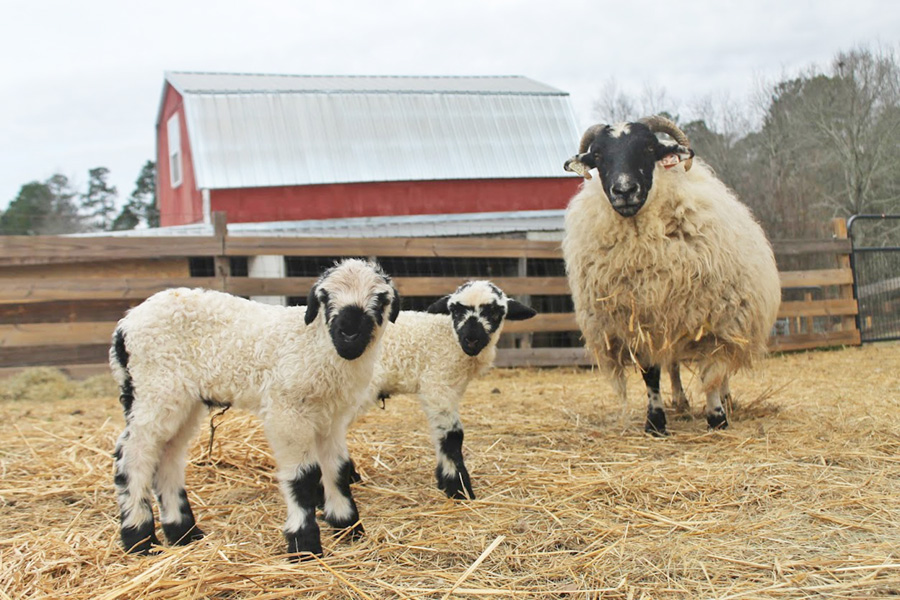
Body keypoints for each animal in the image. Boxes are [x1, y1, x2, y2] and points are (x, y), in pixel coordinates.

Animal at [110, 258, 399, 558]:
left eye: (381, 300)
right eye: (324, 297)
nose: (349, 333)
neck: (314, 345)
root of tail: (125, 325)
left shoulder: (332, 418)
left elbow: (338, 470)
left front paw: (349, 528)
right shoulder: (287, 412)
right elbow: (303, 477)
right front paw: (304, 544)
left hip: (183, 401)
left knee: (168, 456)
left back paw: (184, 534)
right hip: (154, 390)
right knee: (134, 455)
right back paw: (139, 538)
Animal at [353, 281, 536, 500]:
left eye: (494, 312)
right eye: (455, 311)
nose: (471, 339)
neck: (449, 337)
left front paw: (445, 482)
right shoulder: (438, 384)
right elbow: (452, 436)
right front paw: (458, 488)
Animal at [561, 115, 780, 435]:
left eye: (649, 147)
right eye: (598, 156)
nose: (624, 190)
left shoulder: (718, 320)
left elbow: (711, 371)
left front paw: (717, 417)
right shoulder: (638, 324)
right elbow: (651, 374)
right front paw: (655, 422)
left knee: (720, 370)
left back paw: (725, 400)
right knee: (673, 364)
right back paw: (679, 401)